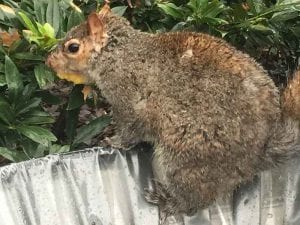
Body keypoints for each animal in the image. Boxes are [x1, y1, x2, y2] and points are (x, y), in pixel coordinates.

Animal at [47, 4, 300, 222]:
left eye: (72, 47)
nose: (48, 61)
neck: (119, 54)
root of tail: (257, 155)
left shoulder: (125, 96)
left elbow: (129, 128)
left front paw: (113, 141)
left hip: (184, 159)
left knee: (195, 201)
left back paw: (168, 201)